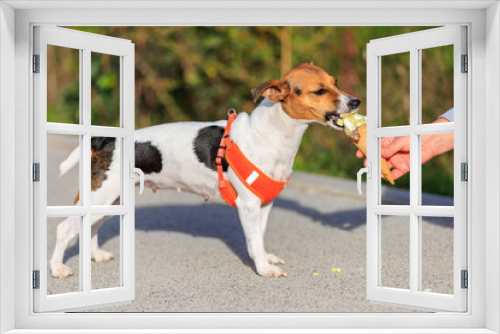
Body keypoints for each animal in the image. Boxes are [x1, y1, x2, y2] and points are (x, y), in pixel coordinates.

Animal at [51, 61, 360, 278]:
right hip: (100, 197)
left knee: (90, 227)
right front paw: (263, 268)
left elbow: (259, 238)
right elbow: (254, 240)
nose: (356, 101)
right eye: (319, 90)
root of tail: (106, 140)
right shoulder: (248, 206)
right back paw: (57, 269)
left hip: (109, 201)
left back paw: (95, 256)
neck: (272, 133)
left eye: (335, 82)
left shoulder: (264, 205)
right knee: (65, 229)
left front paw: (264, 259)